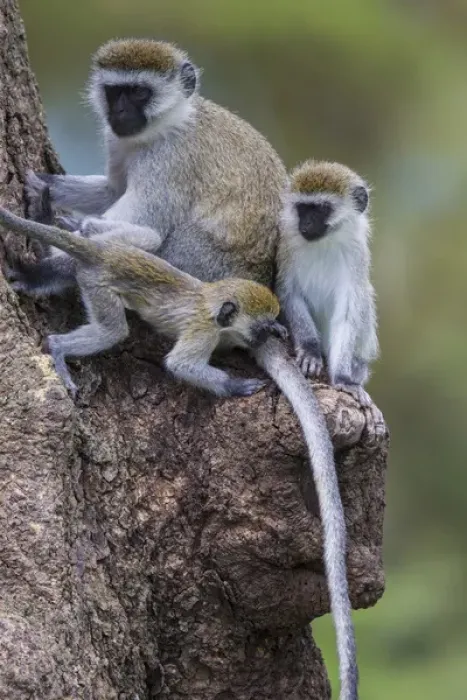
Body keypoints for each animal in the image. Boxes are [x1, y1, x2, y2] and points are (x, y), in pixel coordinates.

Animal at [0, 196, 287, 399]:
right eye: (260, 328)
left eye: (268, 326)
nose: (265, 336)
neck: (212, 301)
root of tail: (106, 253)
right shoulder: (204, 331)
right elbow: (181, 365)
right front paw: (235, 385)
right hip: (97, 284)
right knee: (112, 331)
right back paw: (58, 346)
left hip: (124, 242)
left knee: (147, 238)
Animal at [276, 159, 380, 411]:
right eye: (302, 209)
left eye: (322, 208)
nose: (306, 224)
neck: (325, 242)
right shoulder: (287, 245)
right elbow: (290, 294)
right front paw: (310, 350)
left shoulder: (356, 255)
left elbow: (347, 314)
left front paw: (342, 378)